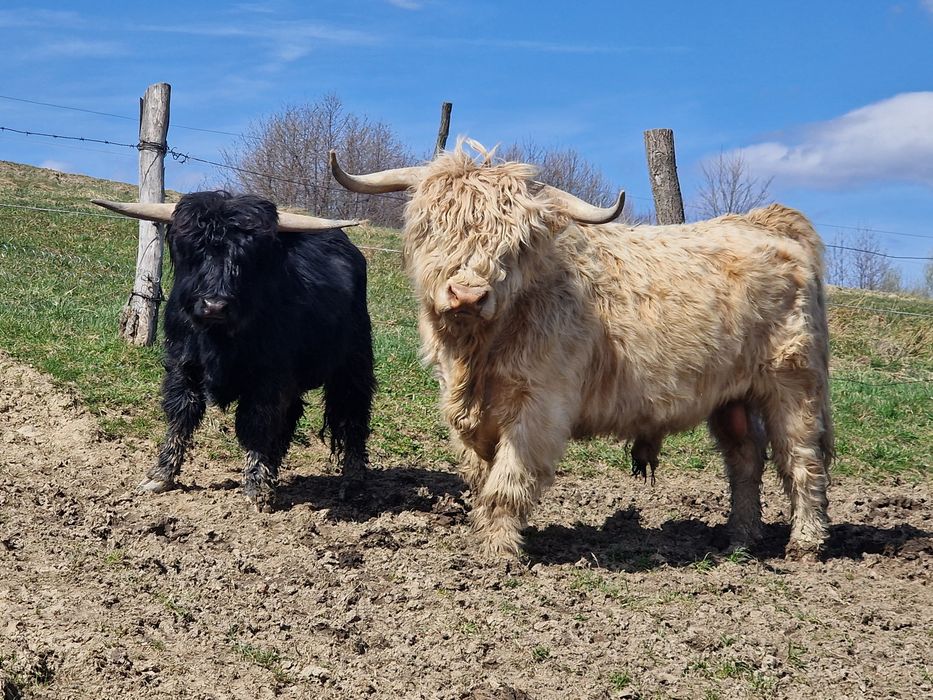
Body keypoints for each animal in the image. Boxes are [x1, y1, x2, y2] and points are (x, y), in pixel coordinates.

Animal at [93, 192, 376, 511]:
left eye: (250, 256)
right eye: (193, 248)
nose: (215, 305)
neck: (219, 341)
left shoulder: (269, 378)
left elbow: (256, 425)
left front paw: (257, 488)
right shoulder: (182, 366)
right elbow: (181, 415)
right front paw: (161, 475)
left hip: (354, 360)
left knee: (352, 415)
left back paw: (352, 483)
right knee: (292, 416)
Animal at [330, 139, 833, 561]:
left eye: (514, 242)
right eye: (433, 226)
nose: (468, 294)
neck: (477, 354)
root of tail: (765, 221)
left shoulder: (538, 408)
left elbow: (507, 482)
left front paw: (498, 552)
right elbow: (480, 476)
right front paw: (482, 534)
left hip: (793, 383)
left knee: (799, 459)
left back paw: (805, 543)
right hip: (731, 396)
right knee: (745, 458)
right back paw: (740, 539)